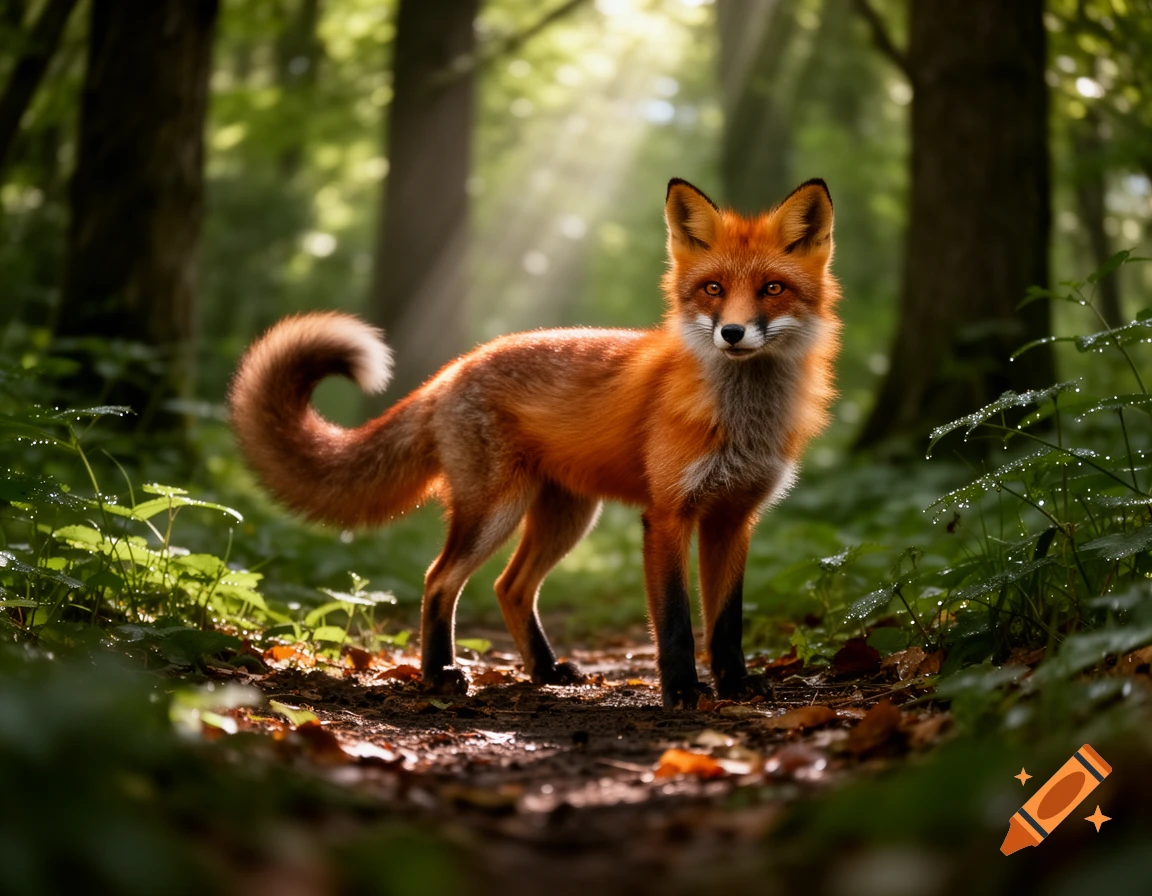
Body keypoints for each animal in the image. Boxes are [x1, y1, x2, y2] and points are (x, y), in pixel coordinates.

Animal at [229, 178, 840, 709]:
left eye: (772, 289)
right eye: (713, 289)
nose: (732, 333)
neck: (741, 419)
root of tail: (452, 369)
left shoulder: (733, 518)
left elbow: (726, 622)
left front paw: (735, 686)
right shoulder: (669, 515)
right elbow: (675, 622)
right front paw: (683, 692)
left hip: (567, 517)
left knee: (510, 586)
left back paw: (544, 670)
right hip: (497, 510)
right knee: (439, 579)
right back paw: (440, 674)